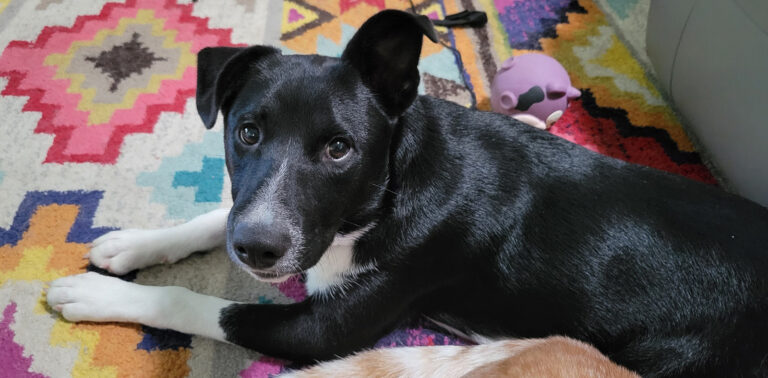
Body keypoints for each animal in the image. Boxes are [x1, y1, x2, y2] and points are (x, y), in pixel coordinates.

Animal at [48, 10, 768, 376]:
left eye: (340, 149)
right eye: (247, 132)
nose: (258, 250)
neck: (390, 190)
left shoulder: (326, 328)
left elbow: (199, 304)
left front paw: (97, 294)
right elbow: (218, 214)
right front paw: (131, 245)